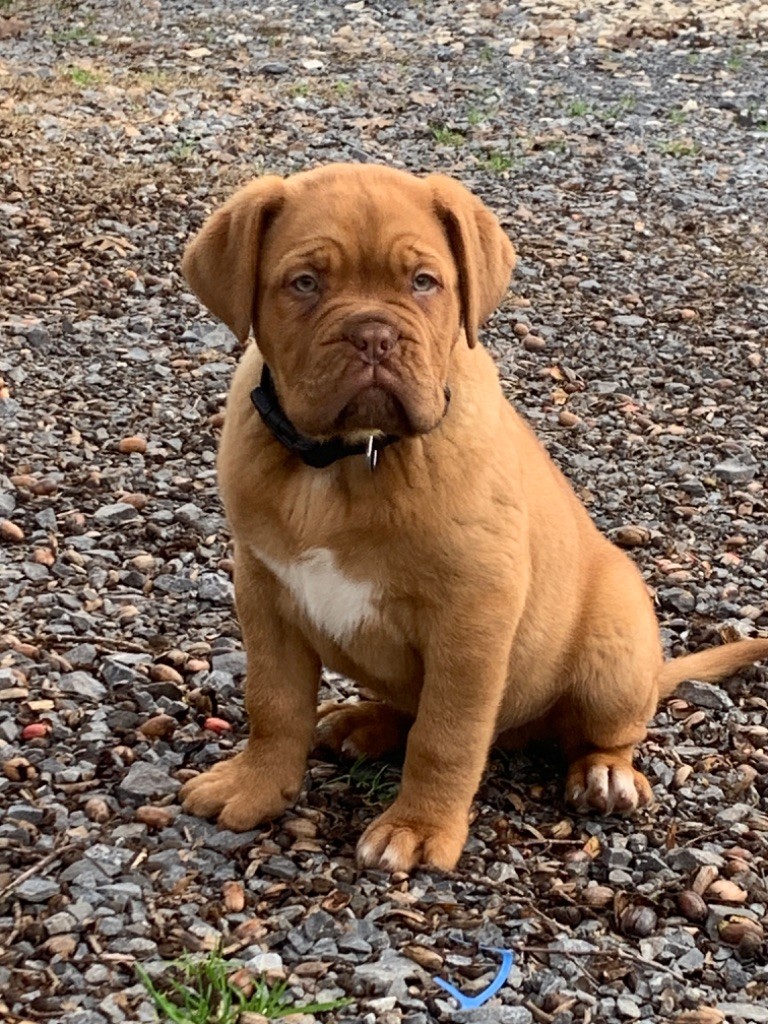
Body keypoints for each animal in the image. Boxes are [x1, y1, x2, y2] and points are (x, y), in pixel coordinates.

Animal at [179, 165, 768, 872]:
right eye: (305, 283)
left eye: (423, 282)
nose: (373, 335)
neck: (350, 461)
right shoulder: (264, 592)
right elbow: (274, 704)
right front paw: (256, 785)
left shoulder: (472, 618)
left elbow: (446, 735)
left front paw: (418, 826)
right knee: (407, 709)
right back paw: (363, 722)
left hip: (615, 649)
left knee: (604, 731)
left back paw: (605, 773)